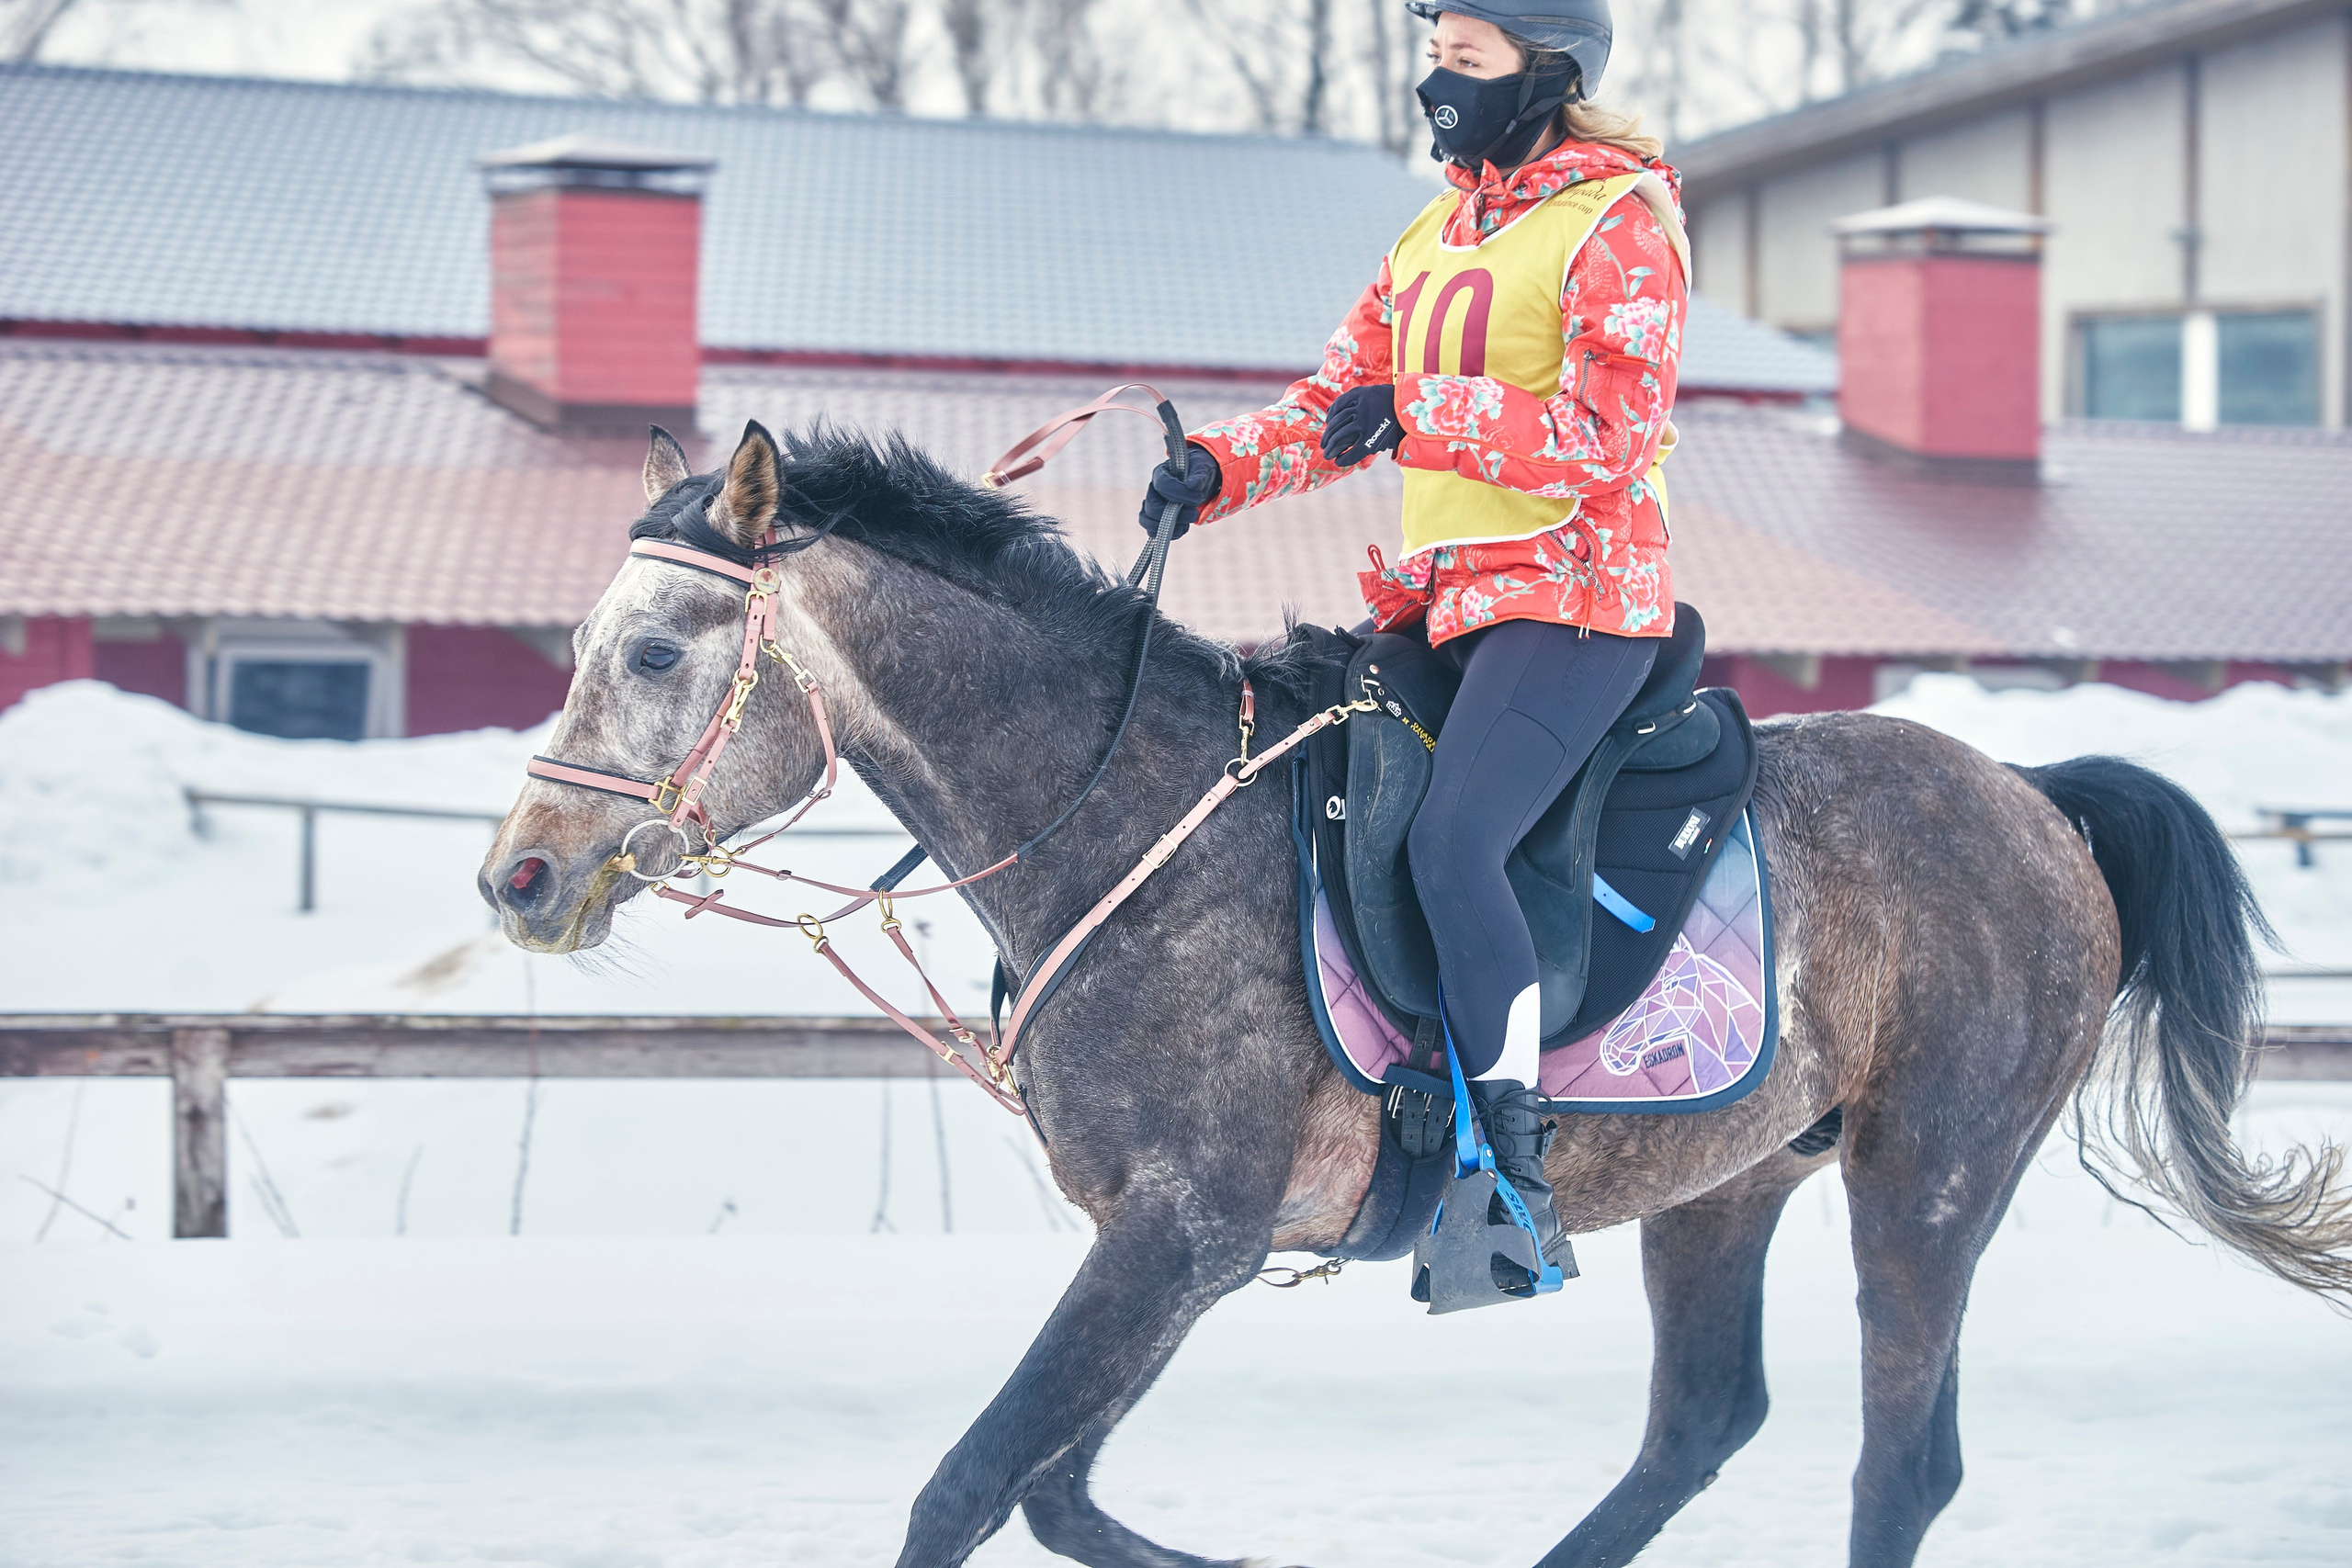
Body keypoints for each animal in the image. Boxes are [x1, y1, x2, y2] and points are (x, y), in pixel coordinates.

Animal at [481, 420, 2352, 1568]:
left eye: (656, 650)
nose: (520, 875)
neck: (1125, 815)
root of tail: (2031, 794)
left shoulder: (1180, 1229)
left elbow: (970, 1488)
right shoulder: (1187, 1249)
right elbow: (1058, 1492)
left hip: (1929, 1173)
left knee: (1903, 1460)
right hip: (1729, 1180)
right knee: (1701, 1426)